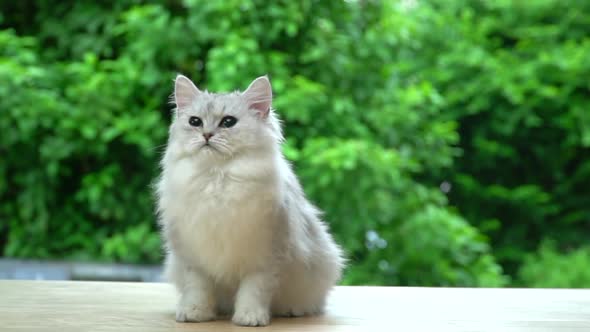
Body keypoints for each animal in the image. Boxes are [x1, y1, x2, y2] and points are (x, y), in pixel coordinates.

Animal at [157, 74, 344, 326]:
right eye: (195, 122)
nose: (206, 135)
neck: (217, 178)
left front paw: (250, 318)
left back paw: (292, 310)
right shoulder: (193, 259)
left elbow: (254, 290)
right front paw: (195, 314)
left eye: (228, 122)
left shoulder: (264, 258)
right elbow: (198, 289)